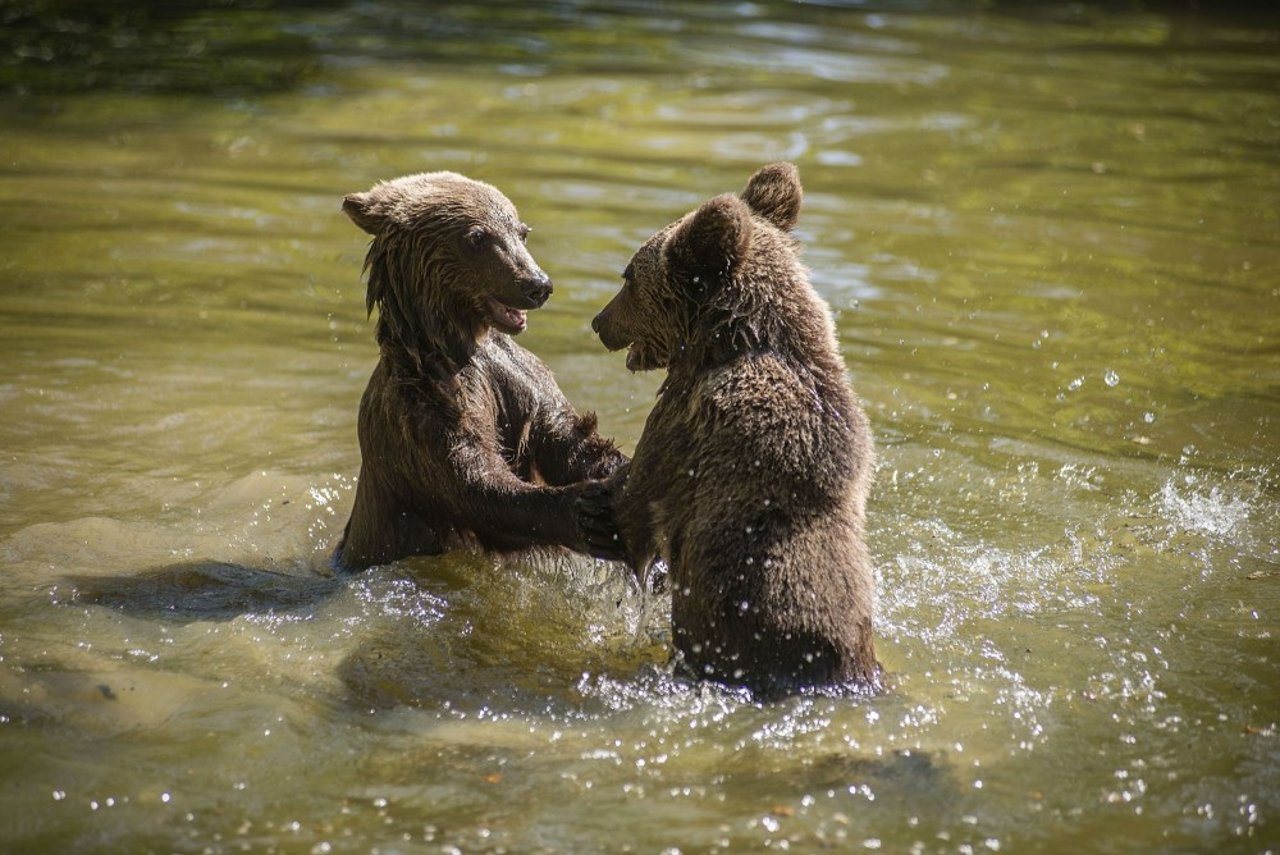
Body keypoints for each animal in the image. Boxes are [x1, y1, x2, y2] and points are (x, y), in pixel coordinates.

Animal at [335, 171, 624, 573]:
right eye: (477, 237)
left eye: (521, 231)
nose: (537, 285)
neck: (457, 342)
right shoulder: (421, 409)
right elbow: (473, 480)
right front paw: (586, 511)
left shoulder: (520, 376)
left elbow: (567, 436)